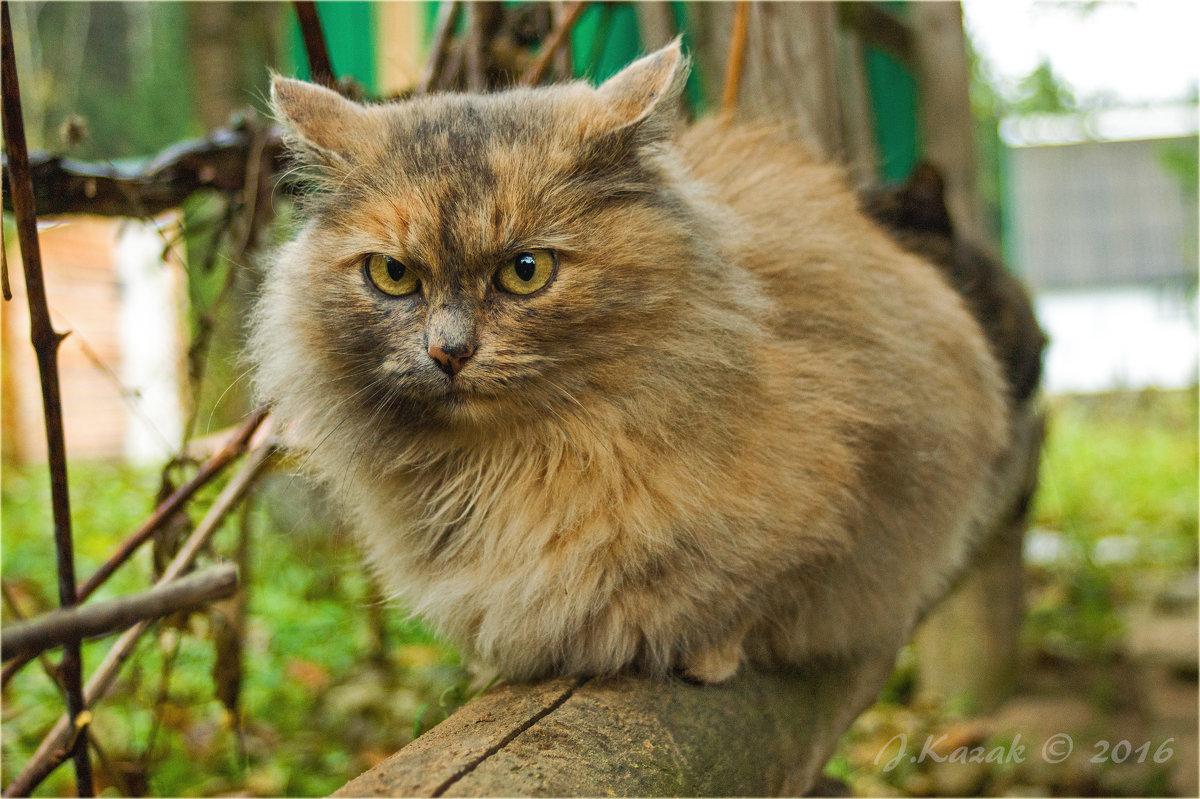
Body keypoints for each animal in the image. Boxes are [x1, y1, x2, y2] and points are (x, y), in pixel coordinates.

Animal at [253, 41, 1012, 676]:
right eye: (393, 275)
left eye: (526, 271)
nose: (449, 352)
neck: (516, 463)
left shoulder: (843, 491)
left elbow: (751, 598)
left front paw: (709, 658)